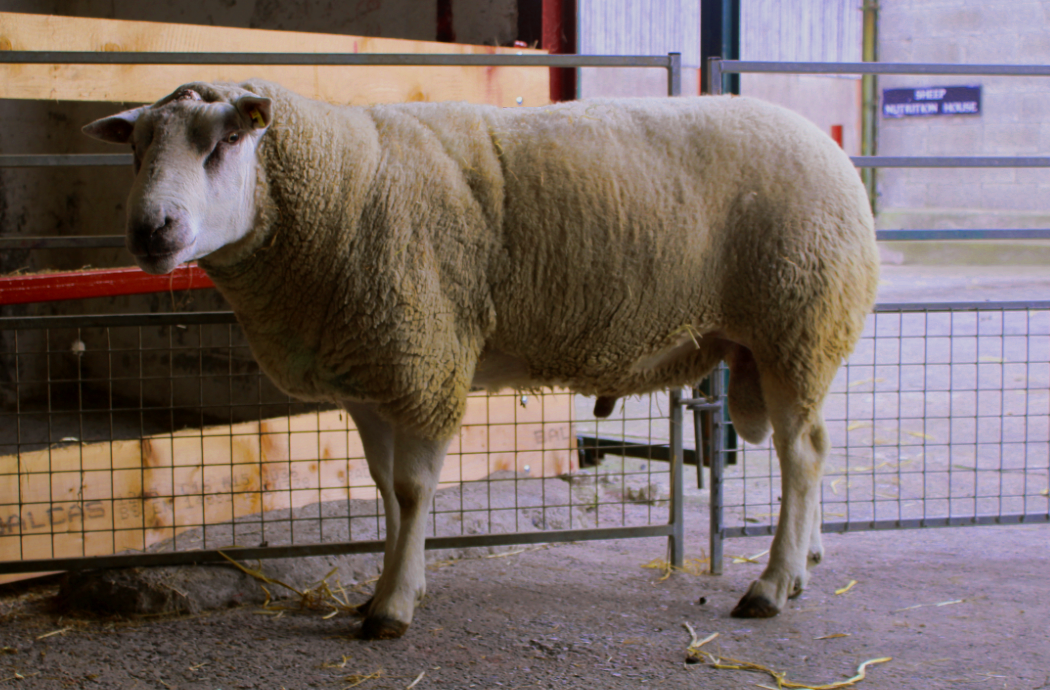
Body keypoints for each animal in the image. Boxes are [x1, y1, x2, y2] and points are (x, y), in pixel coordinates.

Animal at [86, 81, 881, 638]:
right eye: (135, 150)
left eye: (223, 142)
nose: (152, 229)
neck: (344, 188)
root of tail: (836, 154)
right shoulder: (372, 376)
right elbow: (385, 491)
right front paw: (390, 584)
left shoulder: (426, 358)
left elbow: (413, 490)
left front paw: (392, 609)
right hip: (793, 341)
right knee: (812, 448)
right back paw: (803, 567)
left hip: (796, 321)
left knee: (803, 455)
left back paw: (770, 588)